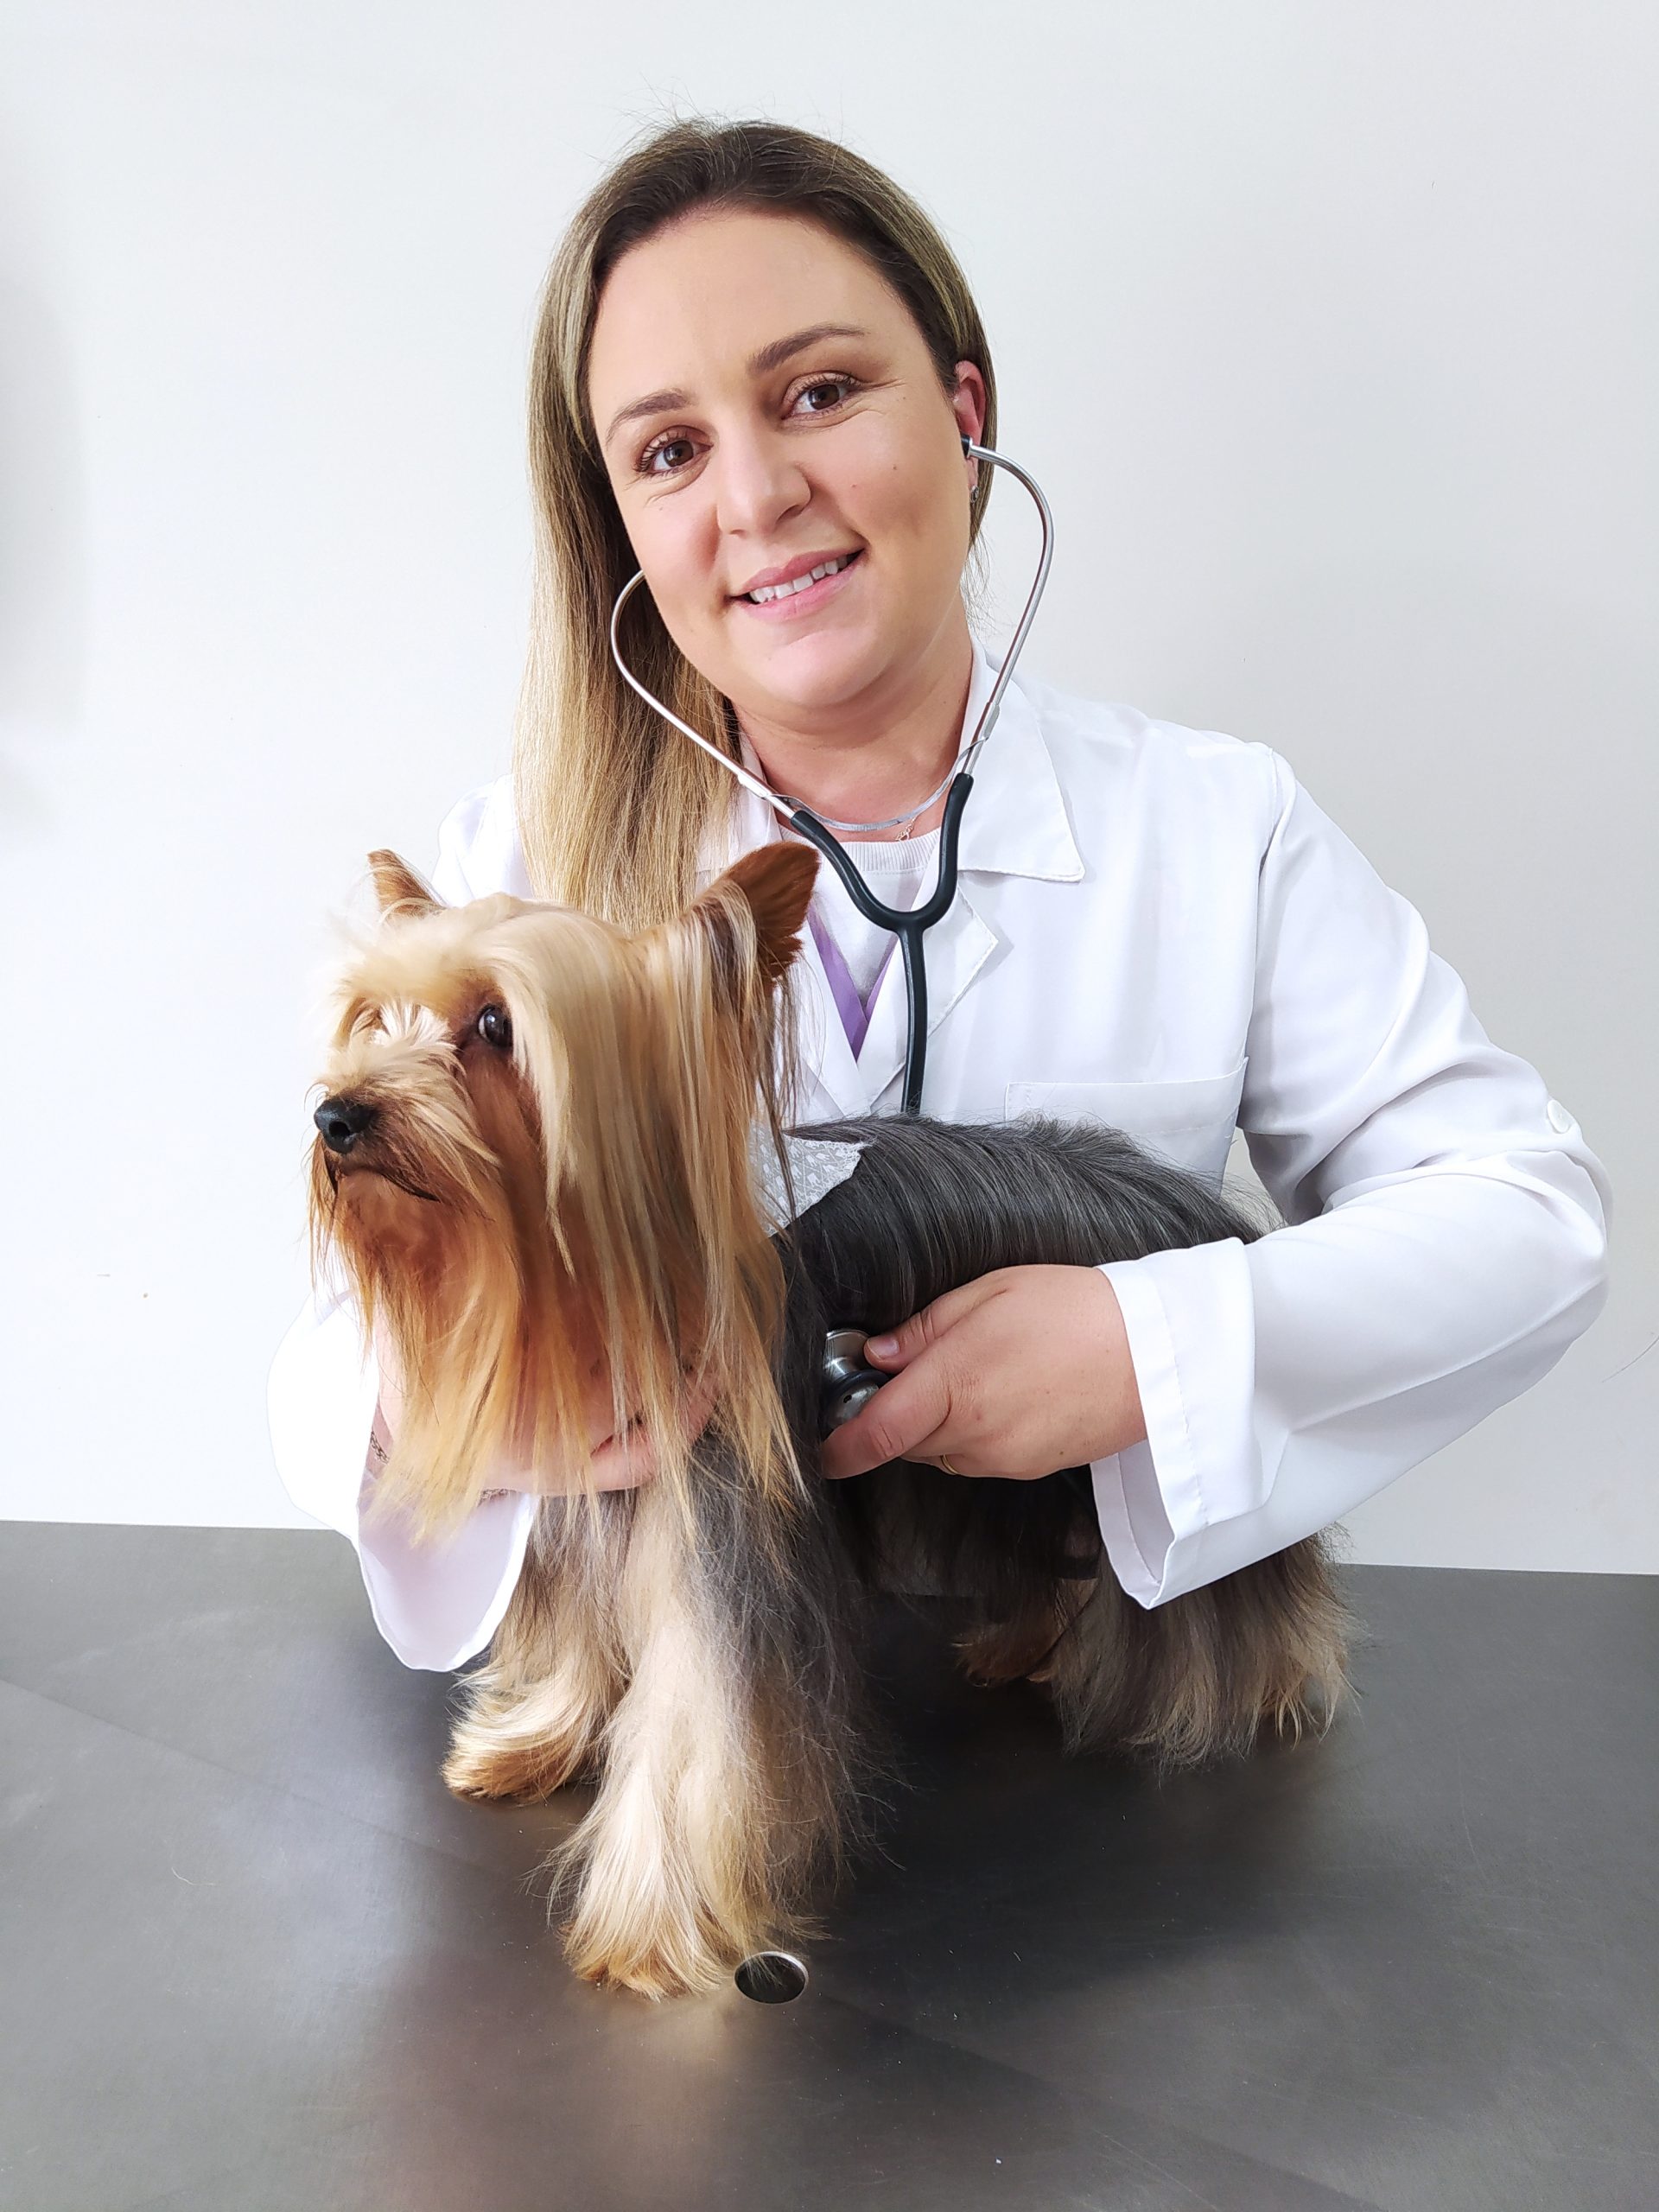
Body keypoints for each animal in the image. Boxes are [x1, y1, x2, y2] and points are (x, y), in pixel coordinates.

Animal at [305, 840, 1353, 1999]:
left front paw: (647, 1921)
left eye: (495, 1024)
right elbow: (582, 1631)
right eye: (375, 1019)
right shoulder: (591, 1485)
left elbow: (697, 1727)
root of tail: (1196, 1207)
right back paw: (1020, 1644)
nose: (336, 1116)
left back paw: (1257, 1680)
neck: (588, 1286)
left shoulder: (723, 1535)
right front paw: (534, 1741)